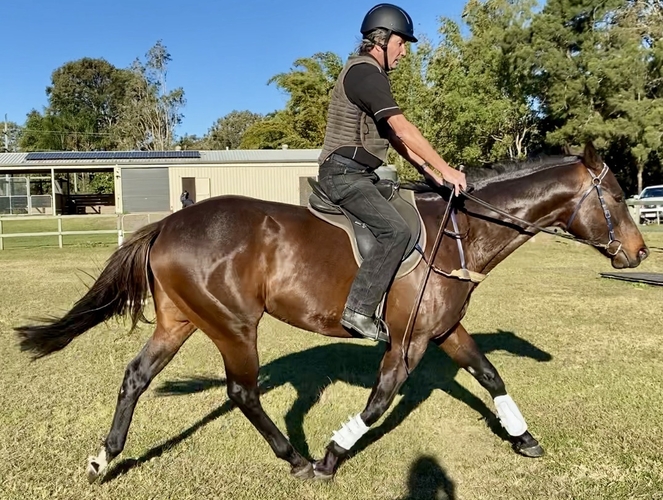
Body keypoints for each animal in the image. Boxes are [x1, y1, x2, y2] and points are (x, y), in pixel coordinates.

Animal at [15, 142, 648, 482]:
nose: (640, 254)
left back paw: (105, 458)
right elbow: (379, 401)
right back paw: (294, 458)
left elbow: (490, 374)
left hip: (182, 322)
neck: (461, 233)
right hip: (235, 326)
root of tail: (167, 224)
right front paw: (330, 456)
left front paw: (524, 438)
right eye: (618, 196)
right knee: (242, 392)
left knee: (136, 377)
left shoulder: (445, 330)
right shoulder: (409, 343)